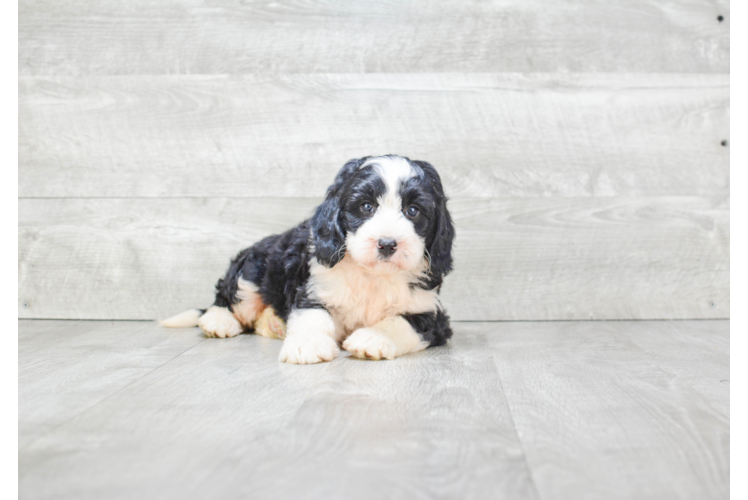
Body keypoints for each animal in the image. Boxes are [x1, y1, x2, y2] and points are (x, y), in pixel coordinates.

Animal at [162, 154, 456, 366]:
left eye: (413, 211)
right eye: (366, 207)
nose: (386, 244)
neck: (372, 275)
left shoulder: (430, 312)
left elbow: (402, 322)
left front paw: (372, 338)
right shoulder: (313, 287)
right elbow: (312, 315)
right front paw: (308, 344)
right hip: (253, 271)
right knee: (229, 296)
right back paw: (219, 320)